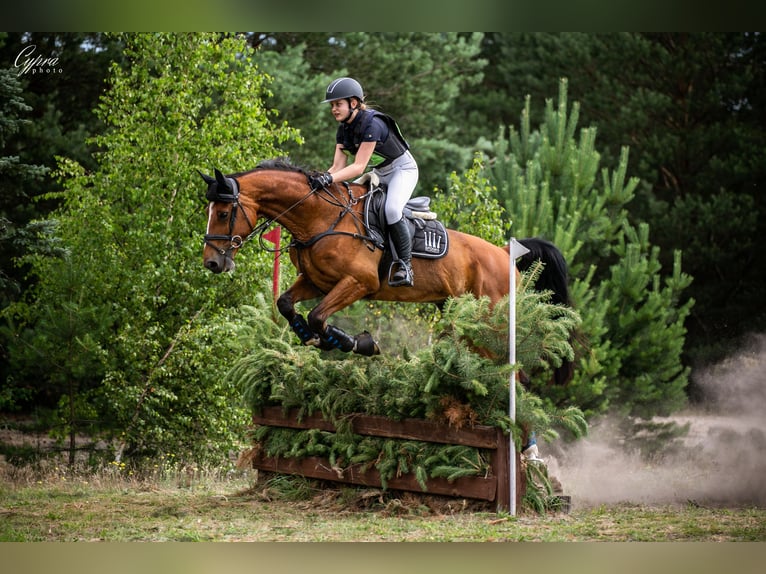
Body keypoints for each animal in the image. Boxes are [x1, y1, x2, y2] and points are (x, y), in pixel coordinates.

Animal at [201, 159, 572, 382]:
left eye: (223, 213)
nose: (212, 263)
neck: (318, 217)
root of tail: (504, 253)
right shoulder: (318, 281)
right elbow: (286, 304)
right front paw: (310, 337)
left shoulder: (358, 282)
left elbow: (319, 316)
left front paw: (357, 343)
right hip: (460, 317)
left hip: (491, 321)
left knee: (514, 370)